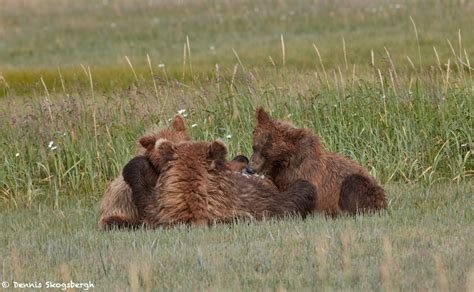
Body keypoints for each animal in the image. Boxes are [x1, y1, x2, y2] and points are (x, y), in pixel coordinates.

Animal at [122, 138, 316, 227]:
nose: (242, 158)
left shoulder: (154, 209)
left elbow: (140, 181)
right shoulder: (255, 204)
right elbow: (288, 202)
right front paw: (304, 187)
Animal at [246, 106, 386, 216]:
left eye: (266, 153)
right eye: (255, 147)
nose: (250, 169)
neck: (284, 163)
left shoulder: (305, 177)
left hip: (363, 187)